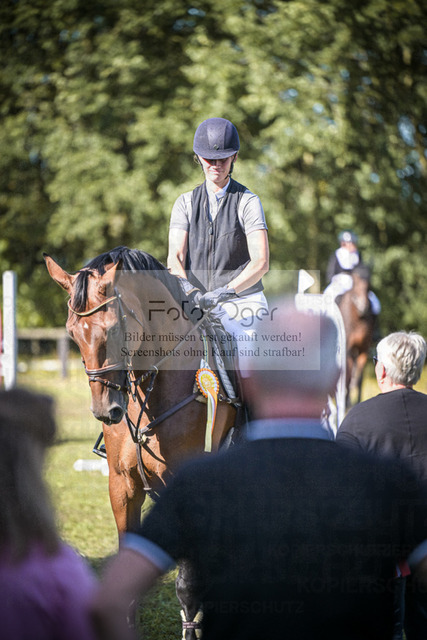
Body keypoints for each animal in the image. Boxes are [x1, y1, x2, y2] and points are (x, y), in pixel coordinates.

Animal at [337, 264, 375, 407]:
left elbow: (358, 376)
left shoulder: (364, 349)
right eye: (355, 280)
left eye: (369, 281)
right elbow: (347, 374)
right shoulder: (348, 349)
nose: (363, 305)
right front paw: (346, 400)